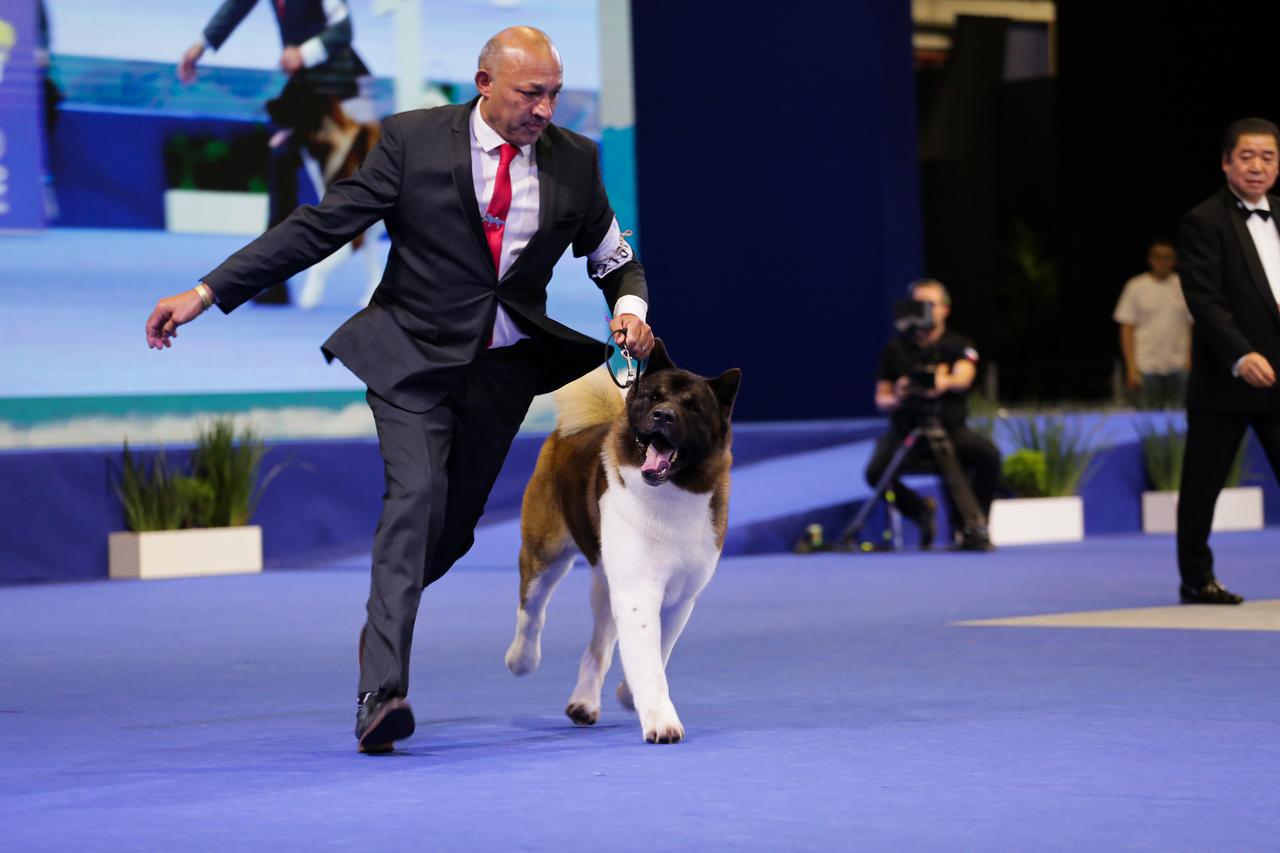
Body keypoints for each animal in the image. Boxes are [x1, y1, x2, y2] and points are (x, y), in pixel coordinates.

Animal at [501, 338, 742, 737]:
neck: (670, 493)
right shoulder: (637, 589)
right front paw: (661, 721)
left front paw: (629, 694)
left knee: (597, 645)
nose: (663, 415)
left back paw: (584, 703)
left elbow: (658, 649)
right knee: (531, 612)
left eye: (692, 406)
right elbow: (647, 657)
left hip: (604, 580)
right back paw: (521, 659)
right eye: (653, 397)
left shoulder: (680, 596)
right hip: (545, 552)